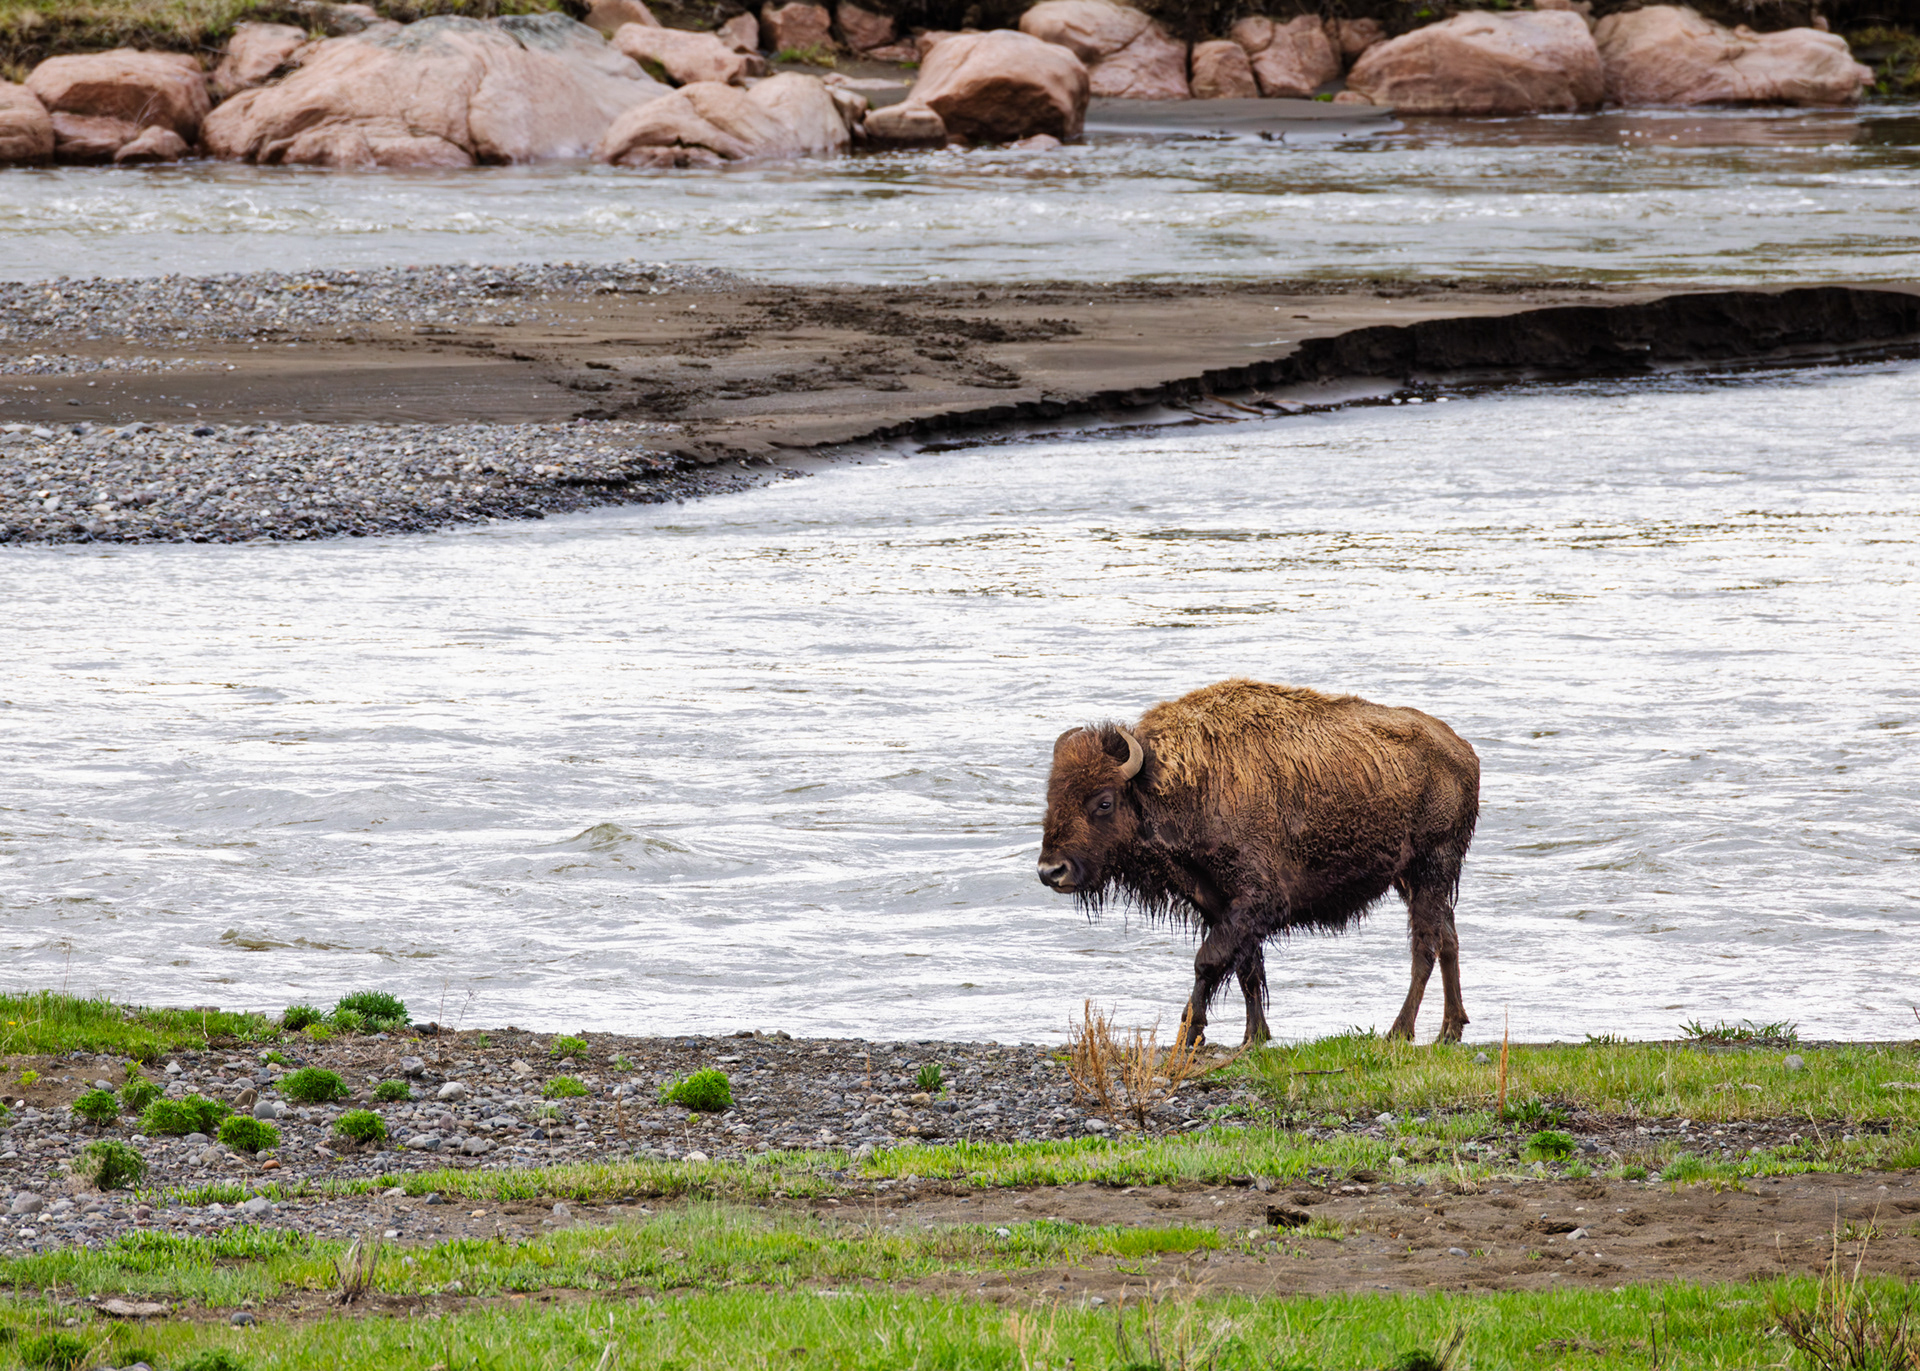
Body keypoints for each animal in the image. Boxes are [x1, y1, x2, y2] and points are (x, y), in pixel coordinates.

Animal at [1037, 677, 1480, 1046]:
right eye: (1052, 797)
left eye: (1104, 802)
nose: (1050, 871)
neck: (1176, 784)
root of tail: (1461, 749)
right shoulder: (1222, 906)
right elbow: (1246, 969)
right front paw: (1255, 1036)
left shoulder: (1257, 901)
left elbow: (1208, 962)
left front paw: (1191, 1032)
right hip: (1412, 879)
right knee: (1449, 938)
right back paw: (1450, 1030)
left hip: (1432, 865)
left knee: (1425, 946)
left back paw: (1399, 1032)